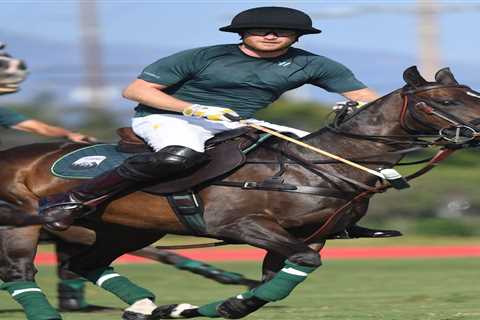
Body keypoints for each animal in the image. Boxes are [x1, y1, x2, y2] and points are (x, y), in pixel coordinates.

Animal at [0, 66, 480, 318]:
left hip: (127, 228)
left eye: (472, 94)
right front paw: (215, 305)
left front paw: (216, 307)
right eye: (445, 101)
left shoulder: (310, 235)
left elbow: (274, 283)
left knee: (86, 263)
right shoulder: (242, 225)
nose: (478, 130)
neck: (316, 164)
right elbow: (298, 266)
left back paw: (149, 307)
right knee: (21, 274)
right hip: (22, 227)